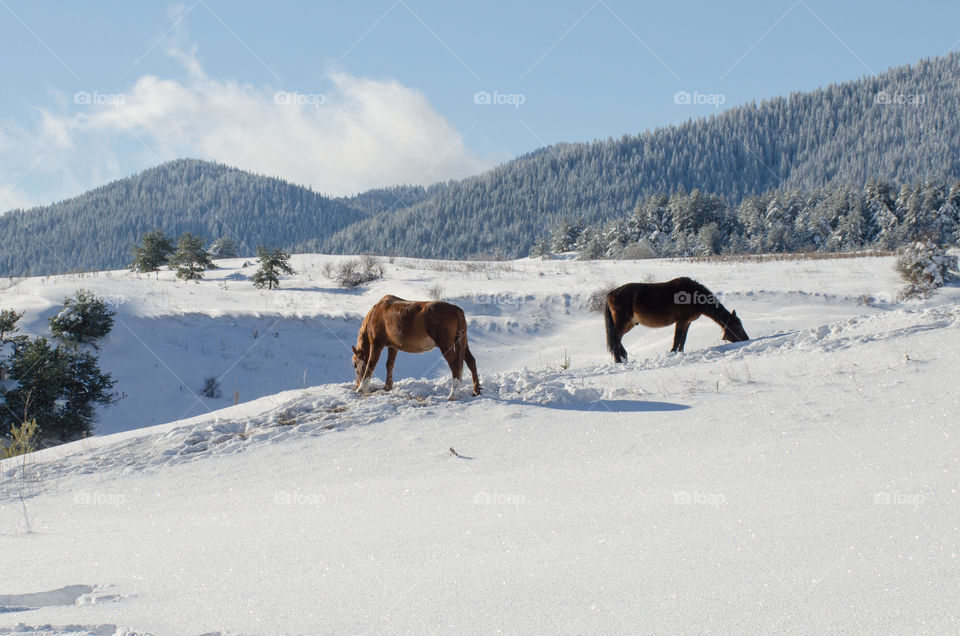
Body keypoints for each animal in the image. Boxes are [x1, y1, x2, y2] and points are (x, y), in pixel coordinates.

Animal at [350, 296, 480, 400]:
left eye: (355, 365)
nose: (356, 384)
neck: (377, 312)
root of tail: (456, 310)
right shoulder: (393, 347)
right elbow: (389, 365)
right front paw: (387, 387)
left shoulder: (377, 344)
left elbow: (370, 365)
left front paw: (361, 389)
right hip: (463, 344)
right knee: (471, 362)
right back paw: (476, 391)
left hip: (446, 346)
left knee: (455, 365)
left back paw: (453, 394)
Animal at [600, 278, 752, 362]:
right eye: (737, 326)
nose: (746, 339)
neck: (694, 295)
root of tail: (611, 293)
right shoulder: (681, 321)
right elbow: (677, 339)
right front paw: (672, 354)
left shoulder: (687, 322)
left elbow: (682, 341)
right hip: (623, 322)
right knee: (615, 340)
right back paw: (619, 361)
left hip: (629, 324)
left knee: (618, 340)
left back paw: (624, 358)